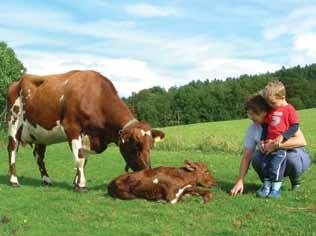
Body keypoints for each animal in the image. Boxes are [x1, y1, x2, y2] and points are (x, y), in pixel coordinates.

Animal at [6, 70, 164, 192]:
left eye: (151, 146)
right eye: (136, 146)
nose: (147, 172)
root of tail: (17, 81)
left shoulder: (88, 136)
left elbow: (84, 159)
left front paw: (76, 182)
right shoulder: (72, 128)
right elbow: (80, 157)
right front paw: (81, 186)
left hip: (41, 133)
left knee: (39, 155)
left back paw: (47, 180)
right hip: (14, 122)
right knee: (12, 149)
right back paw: (14, 181)